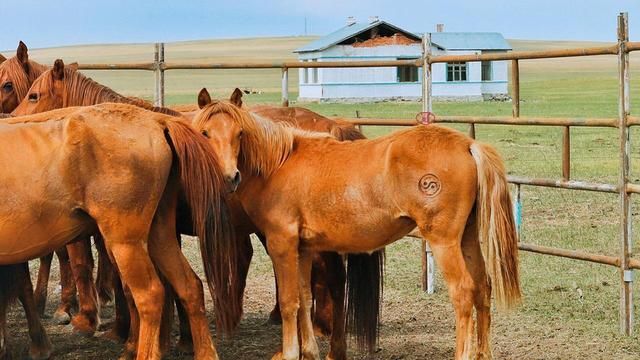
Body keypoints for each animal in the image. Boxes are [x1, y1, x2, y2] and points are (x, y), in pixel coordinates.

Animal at [194, 90, 520, 360]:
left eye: (239, 133)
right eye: (204, 133)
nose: (229, 177)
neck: (279, 163)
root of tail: (468, 144)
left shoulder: (282, 244)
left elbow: (288, 302)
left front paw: (288, 353)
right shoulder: (304, 249)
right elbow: (304, 298)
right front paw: (309, 351)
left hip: (444, 242)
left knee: (464, 293)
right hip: (467, 238)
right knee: (482, 287)